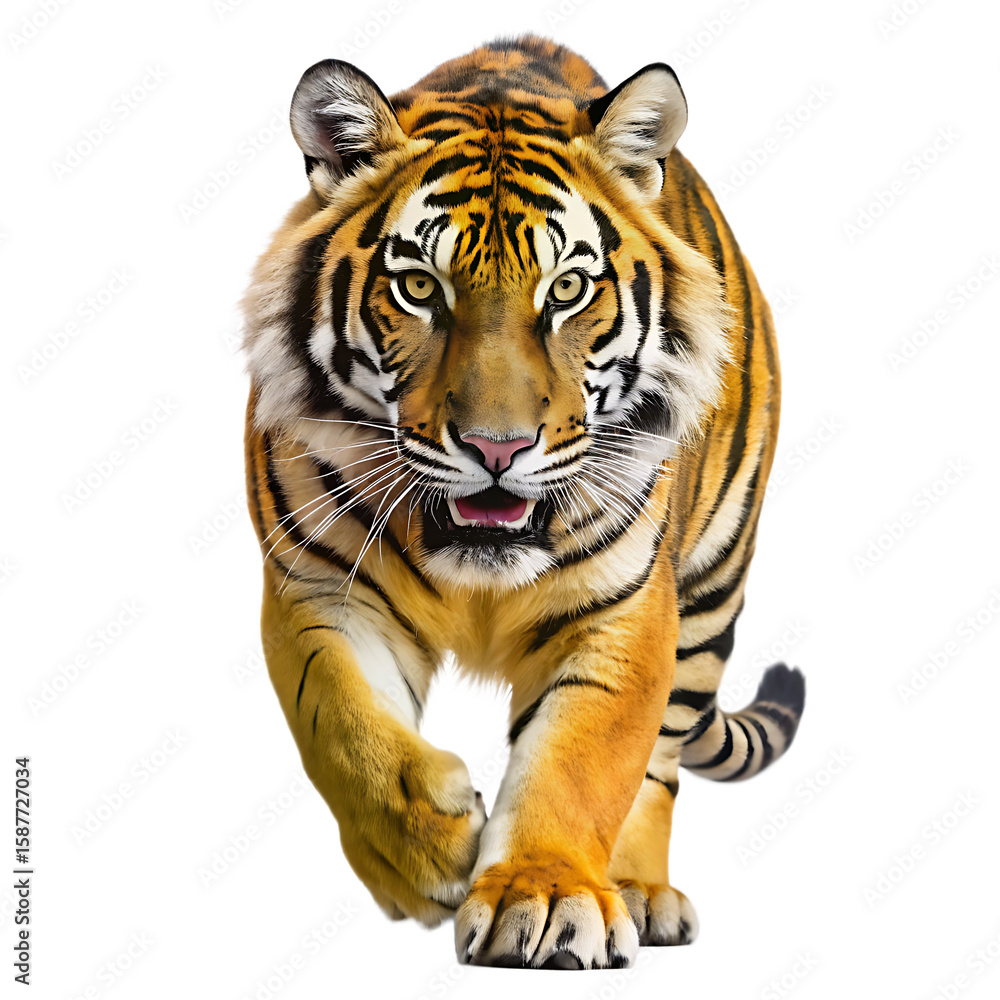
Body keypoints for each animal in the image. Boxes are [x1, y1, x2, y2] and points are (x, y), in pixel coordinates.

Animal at [242, 34, 805, 970]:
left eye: (567, 291)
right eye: (420, 289)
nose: (497, 448)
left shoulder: (621, 610)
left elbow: (584, 763)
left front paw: (540, 897)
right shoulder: (318, 587)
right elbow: (346, 729)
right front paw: (426, 848)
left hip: (711, 589)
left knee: (661, 762)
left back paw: (640, 891)